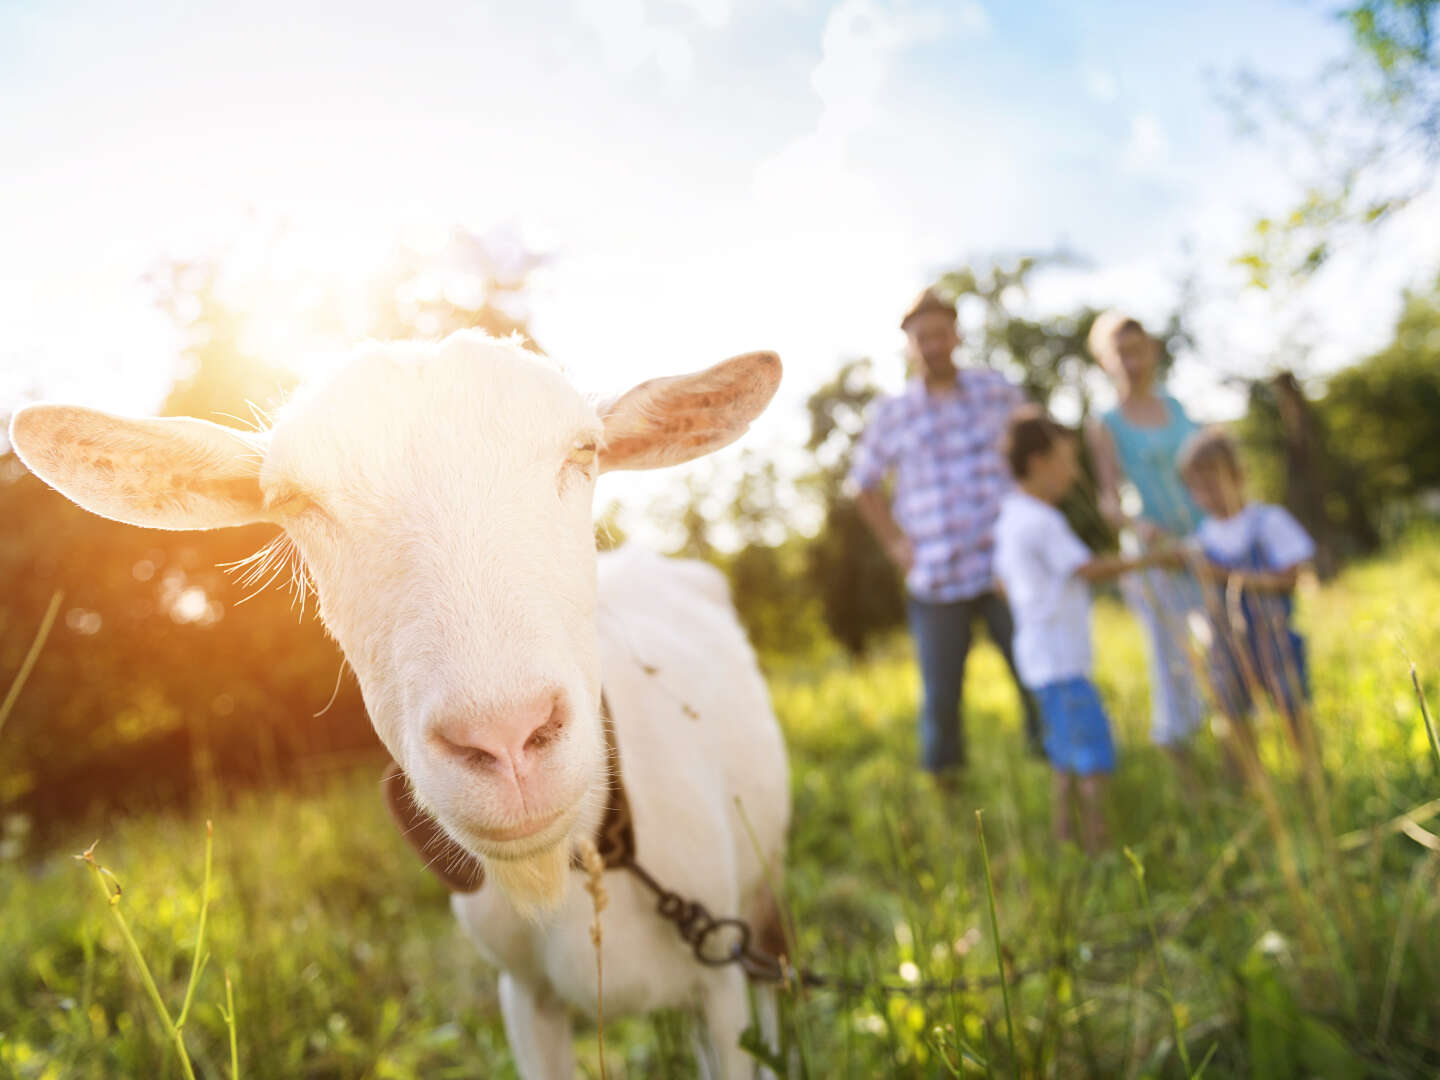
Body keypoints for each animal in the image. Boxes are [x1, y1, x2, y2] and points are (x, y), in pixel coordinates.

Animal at [11, 334, 794, 1077]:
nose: (505, 737)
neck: (581, 862)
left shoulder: (721, 987)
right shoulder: (524, 996)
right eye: (294, 500)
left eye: (586, 450)